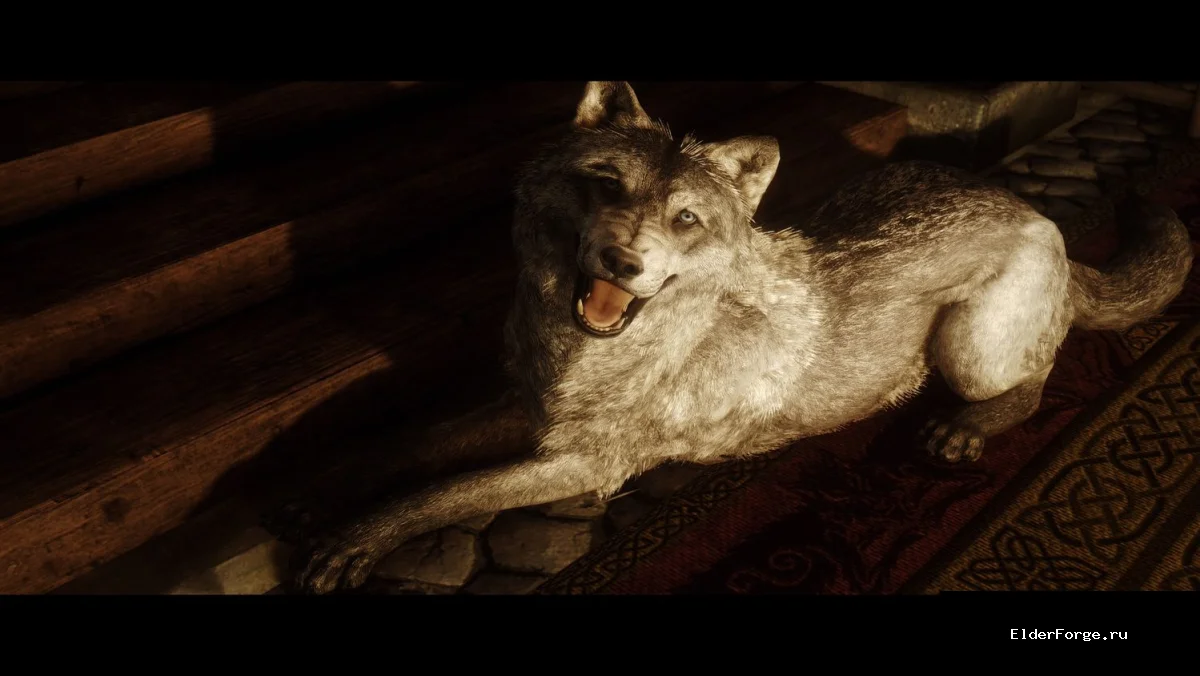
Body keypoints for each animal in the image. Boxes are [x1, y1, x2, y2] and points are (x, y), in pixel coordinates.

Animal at [288, 81, 1193, 594]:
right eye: (605, 185)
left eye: (685, 220)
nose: (623, 260)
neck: (579, 353)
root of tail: (1033, 211)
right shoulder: (525, 403)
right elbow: (422, 443)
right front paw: (343, 476)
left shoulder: (584, 465)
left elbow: (444, 493)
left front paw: (352, 540)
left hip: (967, 348)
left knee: (1033, 385)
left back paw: (966, 429)